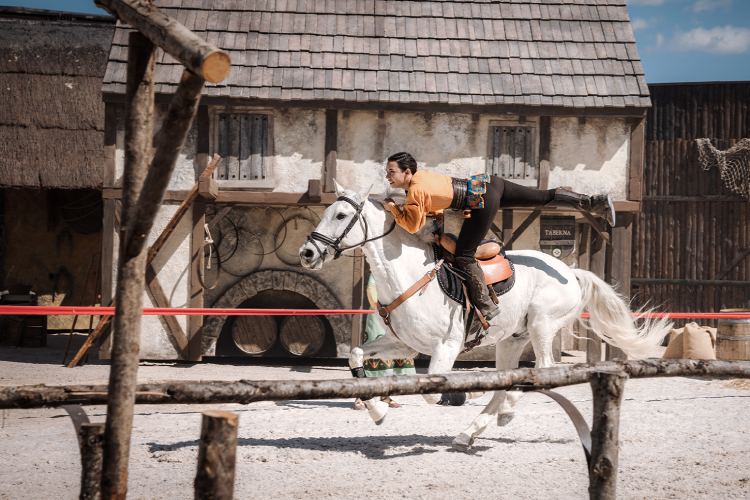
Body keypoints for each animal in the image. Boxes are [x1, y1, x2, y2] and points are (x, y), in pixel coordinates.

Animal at [296, 183, 672, 450]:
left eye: (341, 216)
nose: (307, 253)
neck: (407, 274)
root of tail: (571, 271)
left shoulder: (446, 346)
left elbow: (431, 392)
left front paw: (464, 395)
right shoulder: (402, 344)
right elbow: (358, 355)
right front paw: (377, 410)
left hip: (542, 324)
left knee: (543, 369)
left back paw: (505, 409)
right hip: (511, 339)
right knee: (510, 377)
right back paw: (470, 432)